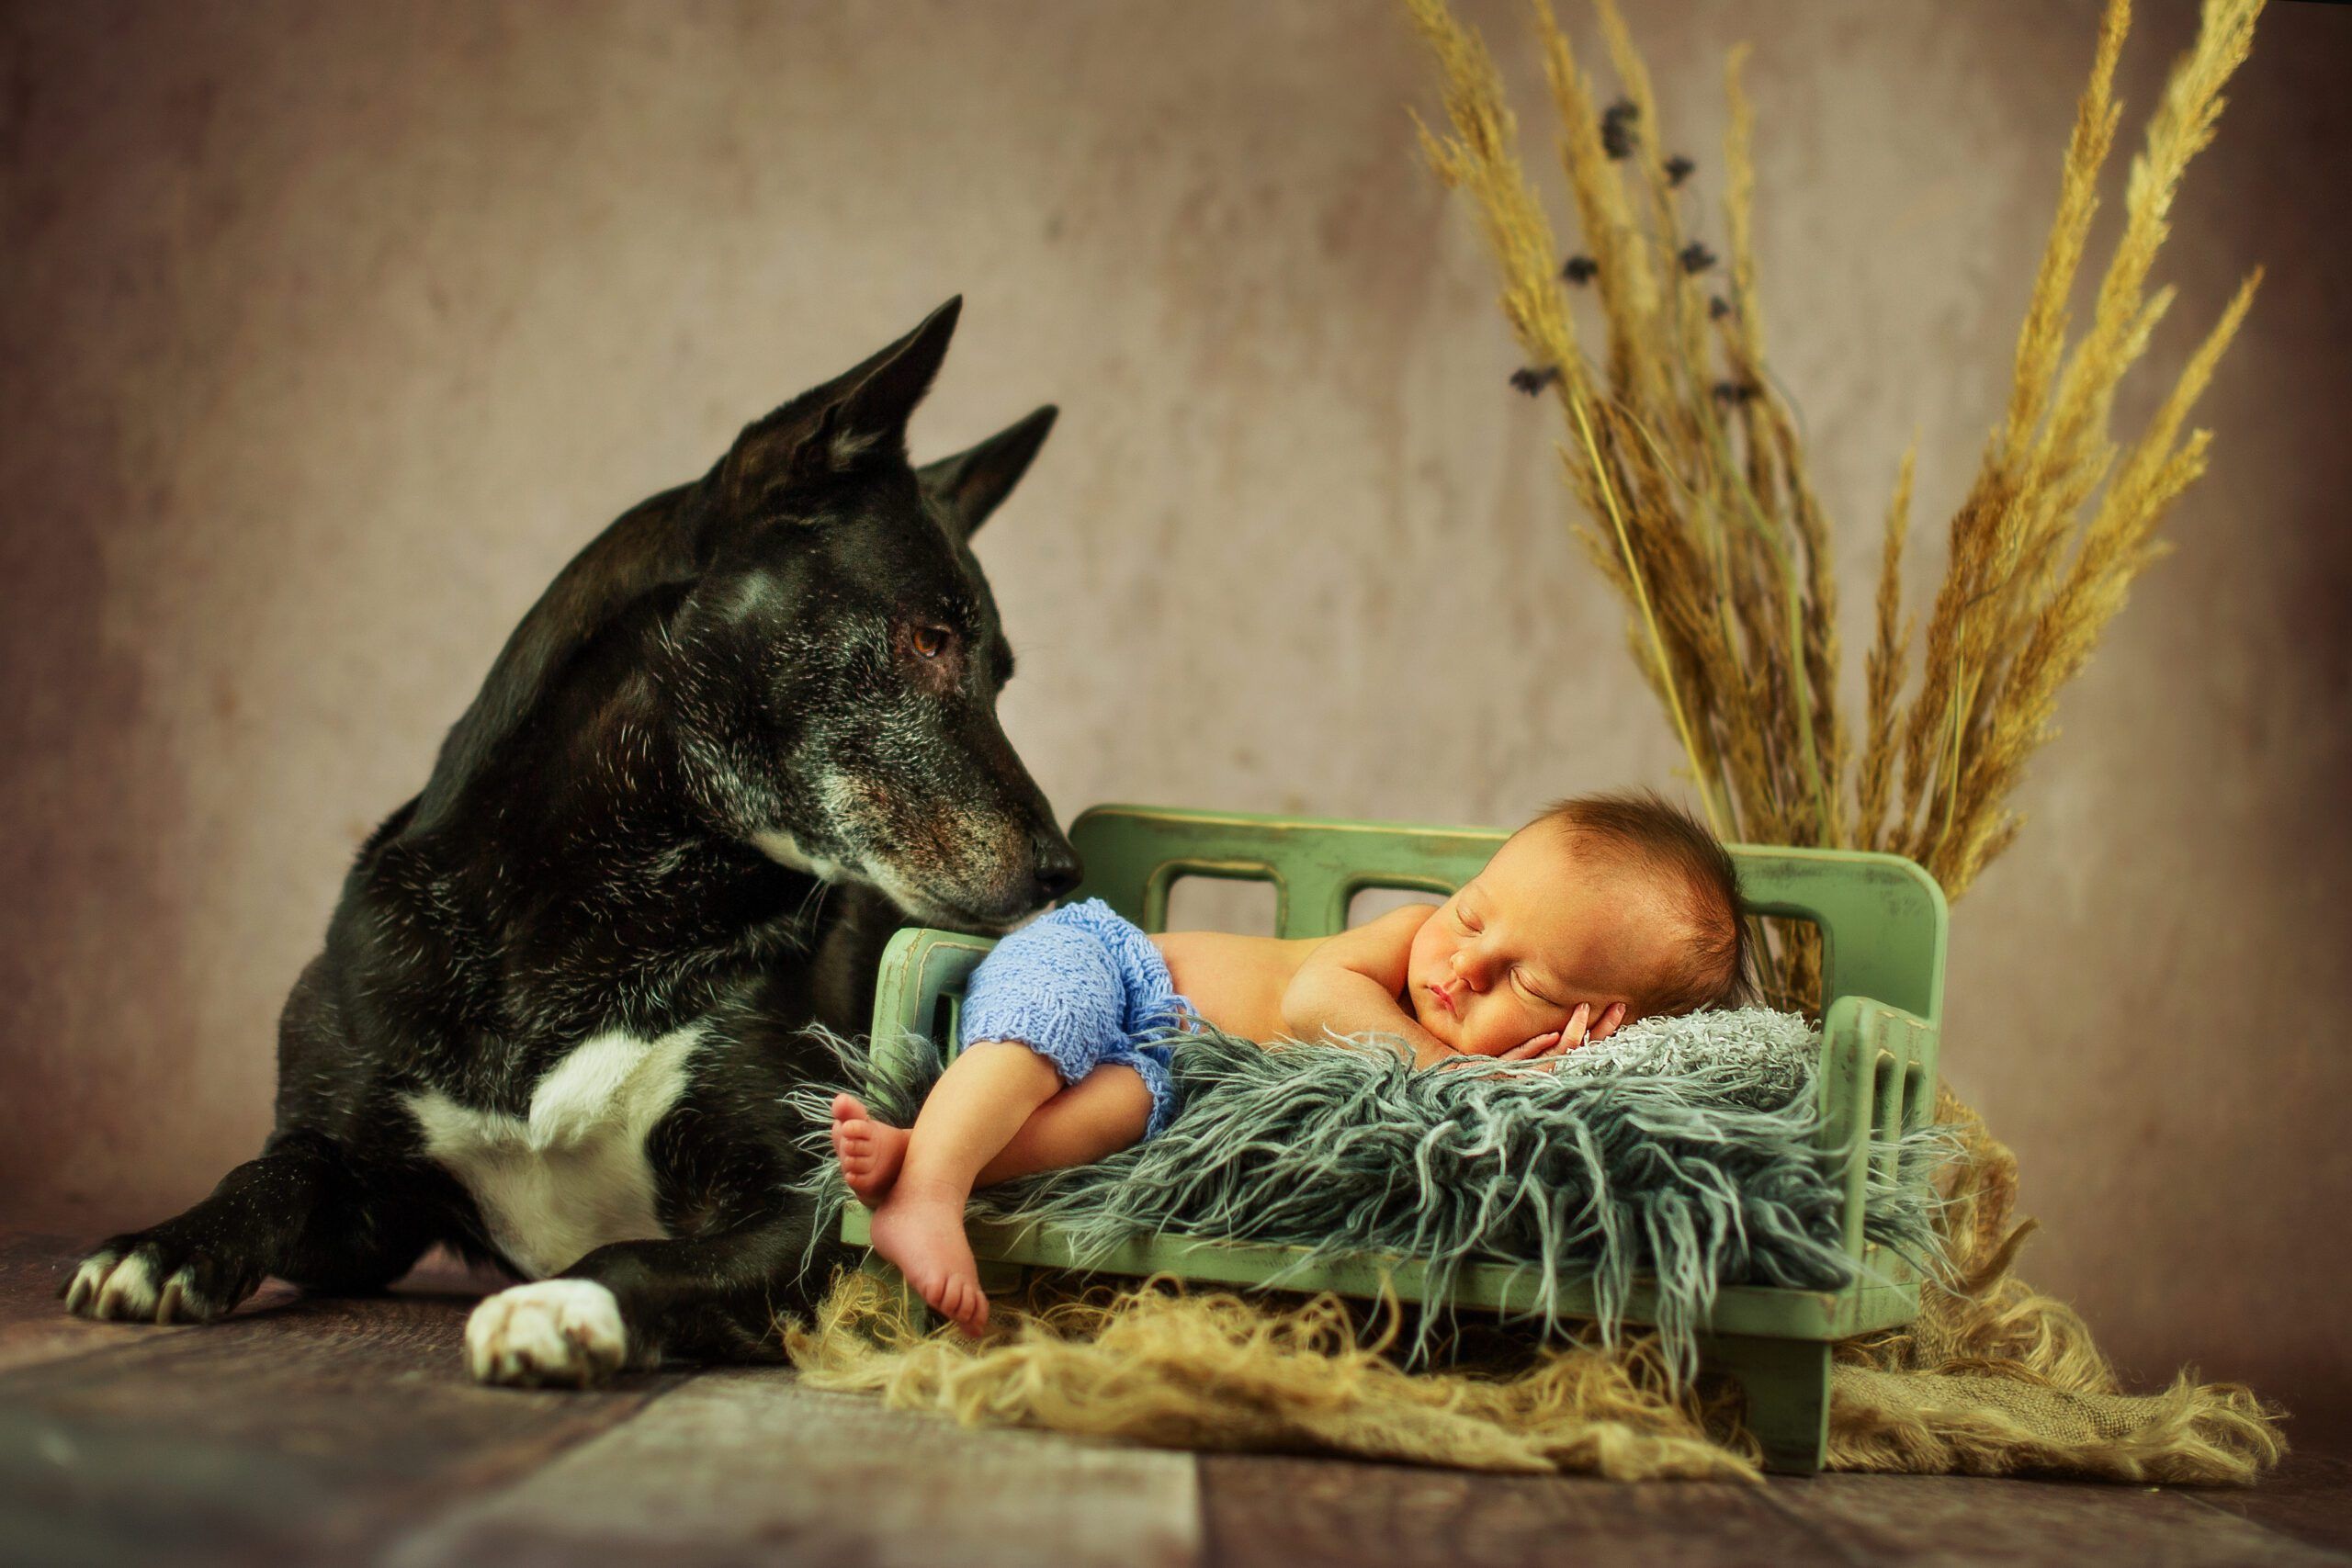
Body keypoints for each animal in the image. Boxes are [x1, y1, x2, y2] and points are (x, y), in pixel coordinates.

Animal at [64, 297, 1077, 1382]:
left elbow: (645, 1254)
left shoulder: (814, 1205)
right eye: (930, 639)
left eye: (997, 673)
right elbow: (269, 1173)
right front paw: (162, 1243)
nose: (1065, 869)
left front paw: (563, 1302)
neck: (598, 903)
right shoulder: (364, 1196)